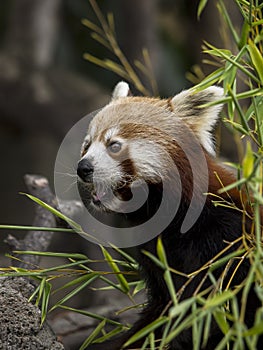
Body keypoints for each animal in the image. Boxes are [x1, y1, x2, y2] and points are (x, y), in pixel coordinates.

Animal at [76, 82, 262, 350]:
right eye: (87, 144)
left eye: (114, 145)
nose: (83, 168)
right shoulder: (156, 253)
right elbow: (164, 307)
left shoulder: (227, 241)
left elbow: (201, 310)